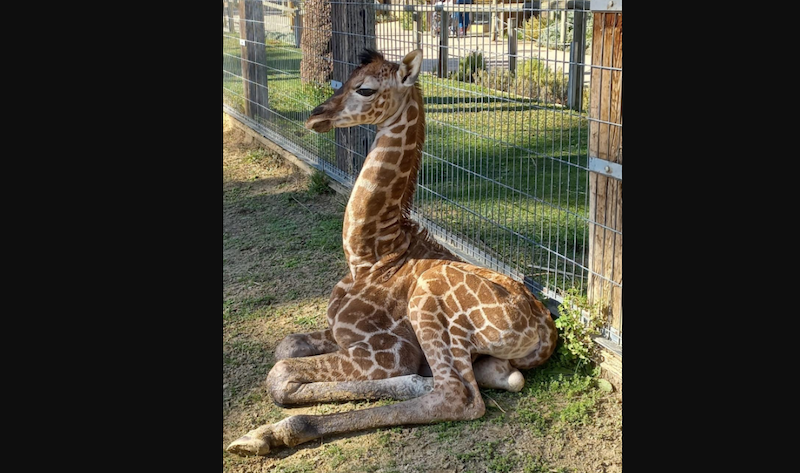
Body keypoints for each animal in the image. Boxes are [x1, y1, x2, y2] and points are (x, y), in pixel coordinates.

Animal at [226, 49, 557, 456]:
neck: (369, 255)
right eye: (346, 79)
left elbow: (280, 372)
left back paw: (270, 433)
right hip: (491, 361)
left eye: (366, 89)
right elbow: (284, 347)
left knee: (459, 397)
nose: (316, 115)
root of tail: (545, 336)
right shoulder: (341, 334)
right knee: (501, 381)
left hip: (429, 301)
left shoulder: (386, 352)